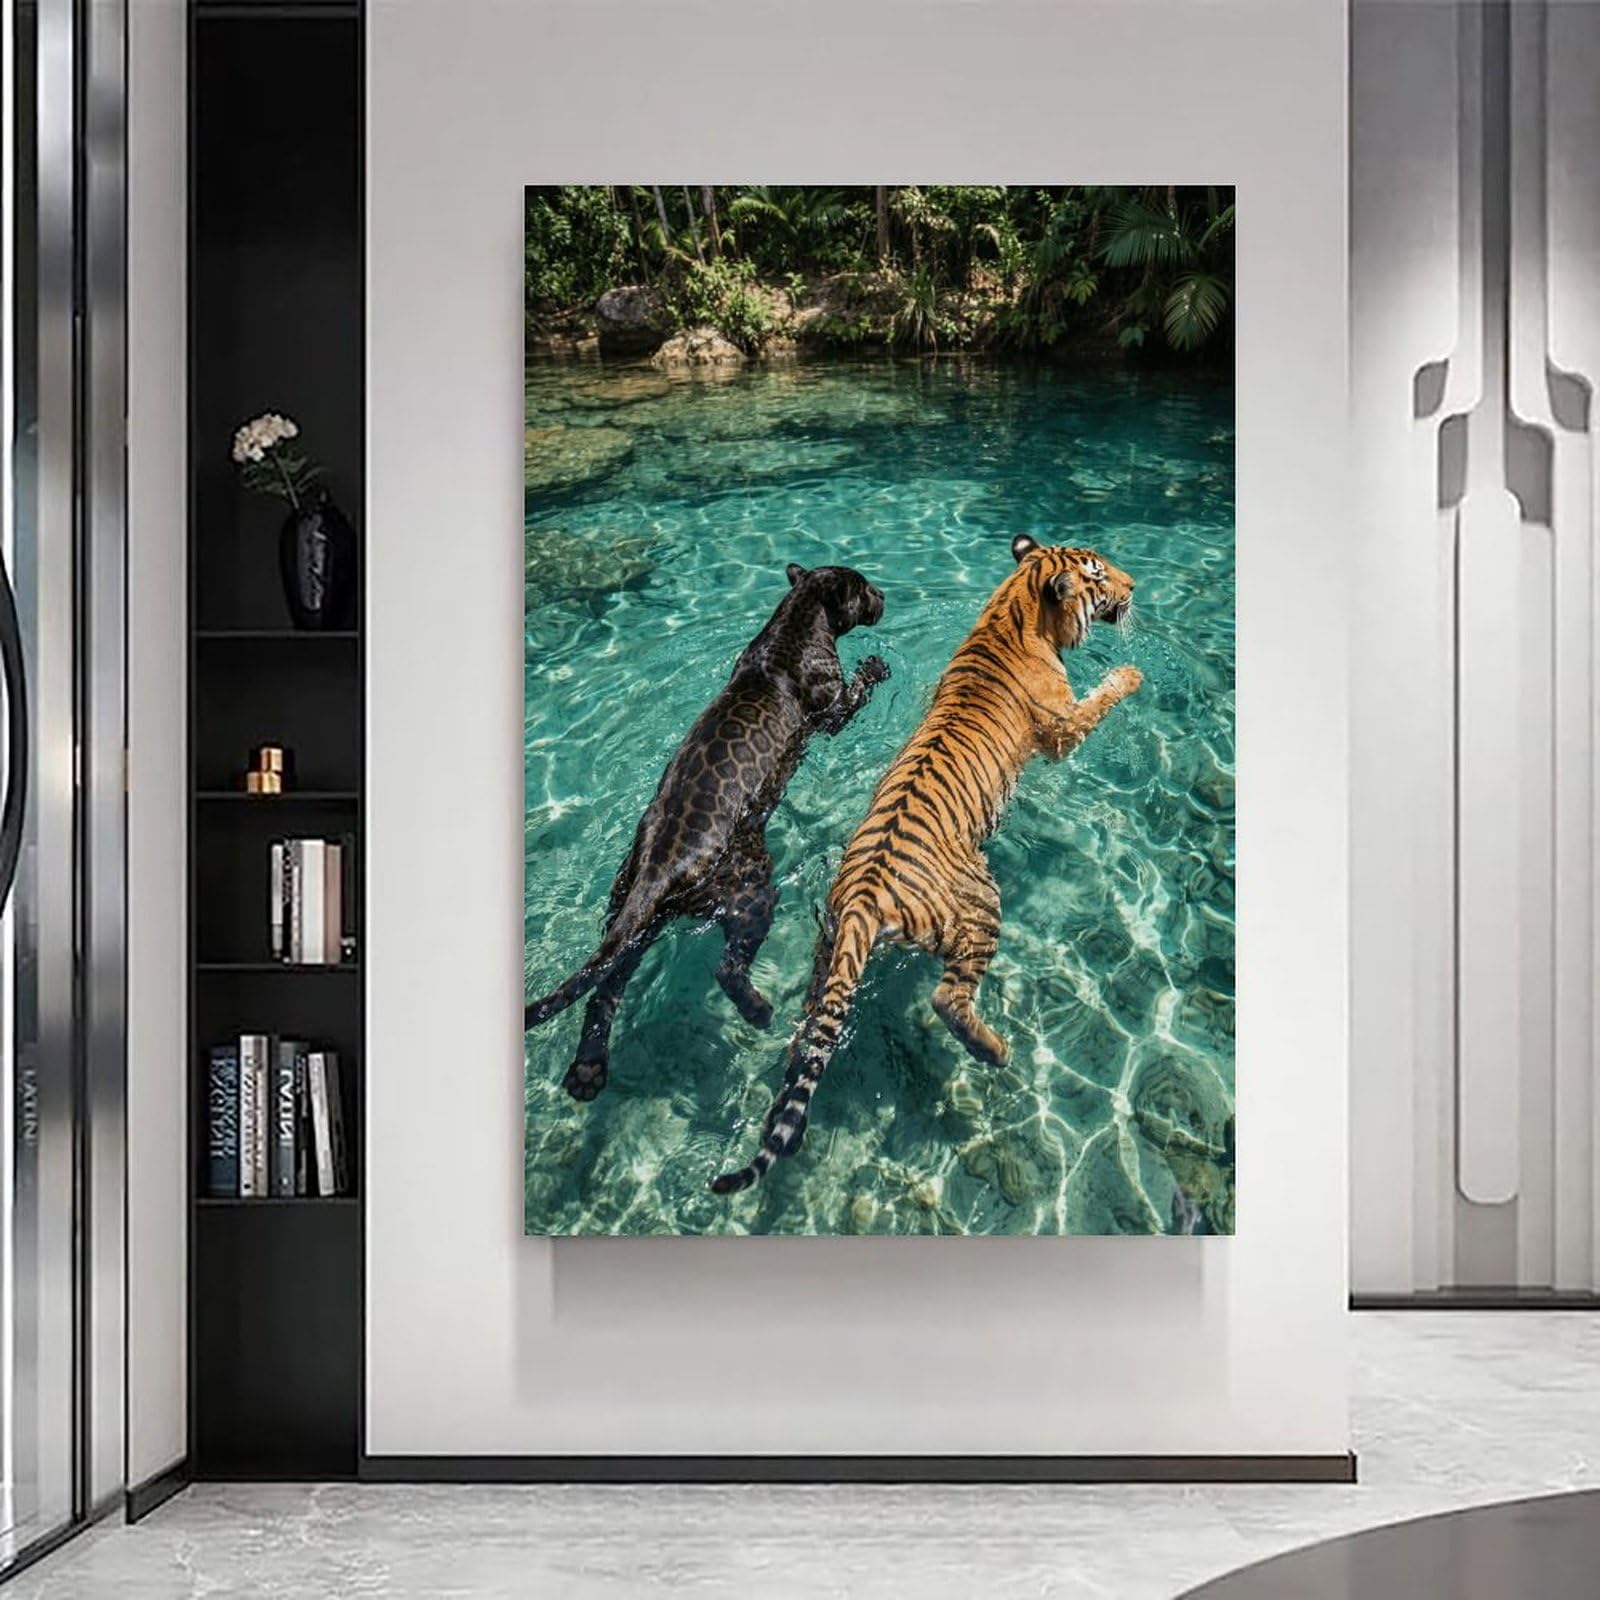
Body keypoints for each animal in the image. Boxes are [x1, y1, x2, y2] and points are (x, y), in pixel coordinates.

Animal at [711, 535, 1141, 1194]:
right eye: (1098, 574)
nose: (1135, 586)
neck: (1012, 611)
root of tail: (862, 900)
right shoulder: (1062, 729)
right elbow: (1098, 704)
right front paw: (1129, 675)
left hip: (827, 955)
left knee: (807, 1035)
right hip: (982, 906)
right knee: (948, 1000)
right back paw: (997, 1051)